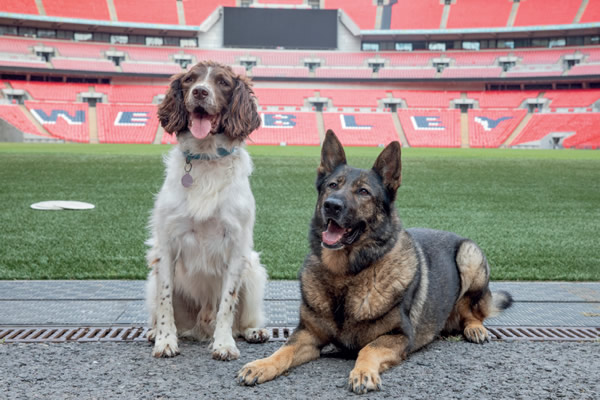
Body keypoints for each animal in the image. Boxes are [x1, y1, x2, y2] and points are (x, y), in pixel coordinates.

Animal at [237, 130, 512, 394]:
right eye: (332, 185)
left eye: (363, 192)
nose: (331, 205)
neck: (346, 275)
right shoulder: (308, 334)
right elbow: (284, 349)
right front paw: (261, 365)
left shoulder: (398, 336)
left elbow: (367, 348)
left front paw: (363, 373)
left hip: (469, 255)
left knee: (473, 311)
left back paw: (475, 328)